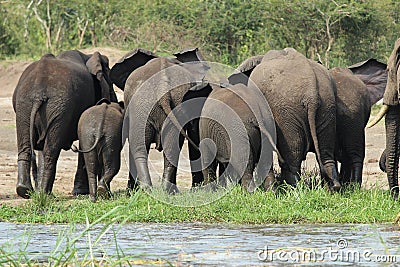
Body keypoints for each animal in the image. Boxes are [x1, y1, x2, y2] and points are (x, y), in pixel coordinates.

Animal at [11, 49, 117, 199]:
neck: (88, 56)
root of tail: (38, 92)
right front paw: (80, 192)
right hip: (60, 107)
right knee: (50, 150)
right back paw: (43, 193)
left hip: (25, 105)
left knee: (28, 146)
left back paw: (28, 191)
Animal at [108, 48, 211, 195]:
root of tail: (163, 89)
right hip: (172, 104)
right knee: (170, 149)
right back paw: (166, 191)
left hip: (143, 107)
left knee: (139, 147)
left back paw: (147, 190)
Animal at [228, 47, 340, 191]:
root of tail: (312, 93)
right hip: (327, 107)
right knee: (325, 152)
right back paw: (332, 189)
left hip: (287, 111)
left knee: (293, 153)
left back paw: (291, 188)